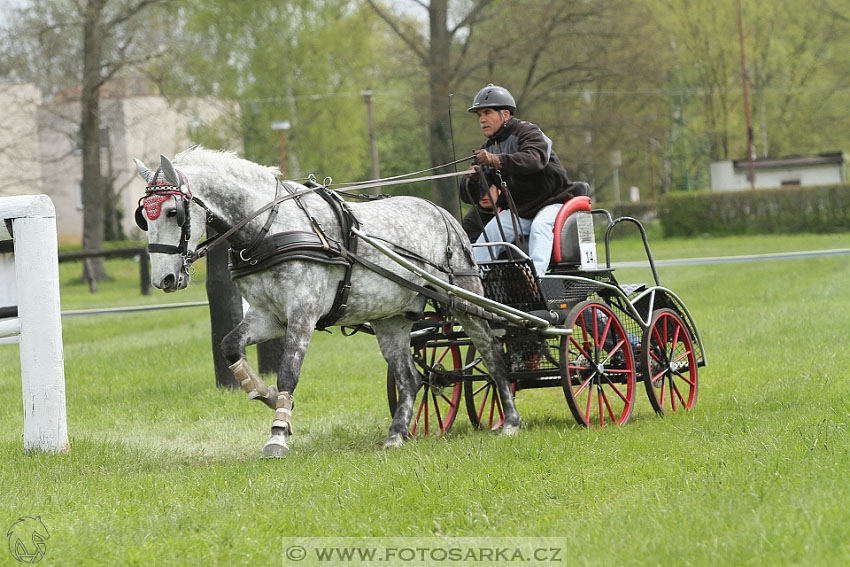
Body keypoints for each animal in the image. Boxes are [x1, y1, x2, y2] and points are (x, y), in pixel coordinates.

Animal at [132, 148, 516, 458]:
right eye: (144, 217)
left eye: (172, 212)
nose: (164, 279)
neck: (269, 228)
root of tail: (443, 213)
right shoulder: (269, 316)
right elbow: (230, 345)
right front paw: (266, 395)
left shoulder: (303, 312)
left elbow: (289, 372)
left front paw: (278, 434)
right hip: (391, 319)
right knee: (410, 378)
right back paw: (396, 435)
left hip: (465, 301)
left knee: (493, 354)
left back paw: (510, 421)